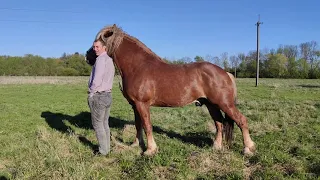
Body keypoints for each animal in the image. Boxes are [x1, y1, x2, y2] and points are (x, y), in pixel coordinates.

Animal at [85, 24, 255, 156]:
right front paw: (135, 145)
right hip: (211, 104)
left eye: (96, 44)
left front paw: (150, 150)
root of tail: (225, 73)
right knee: (219, 124)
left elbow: (147, 126)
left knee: (241, 120)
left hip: (225, 103)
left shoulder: (142, 104)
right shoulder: (135, 105)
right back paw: (216, 147)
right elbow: (138, 125)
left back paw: (248, 148)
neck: (138, 66)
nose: (87, 57)